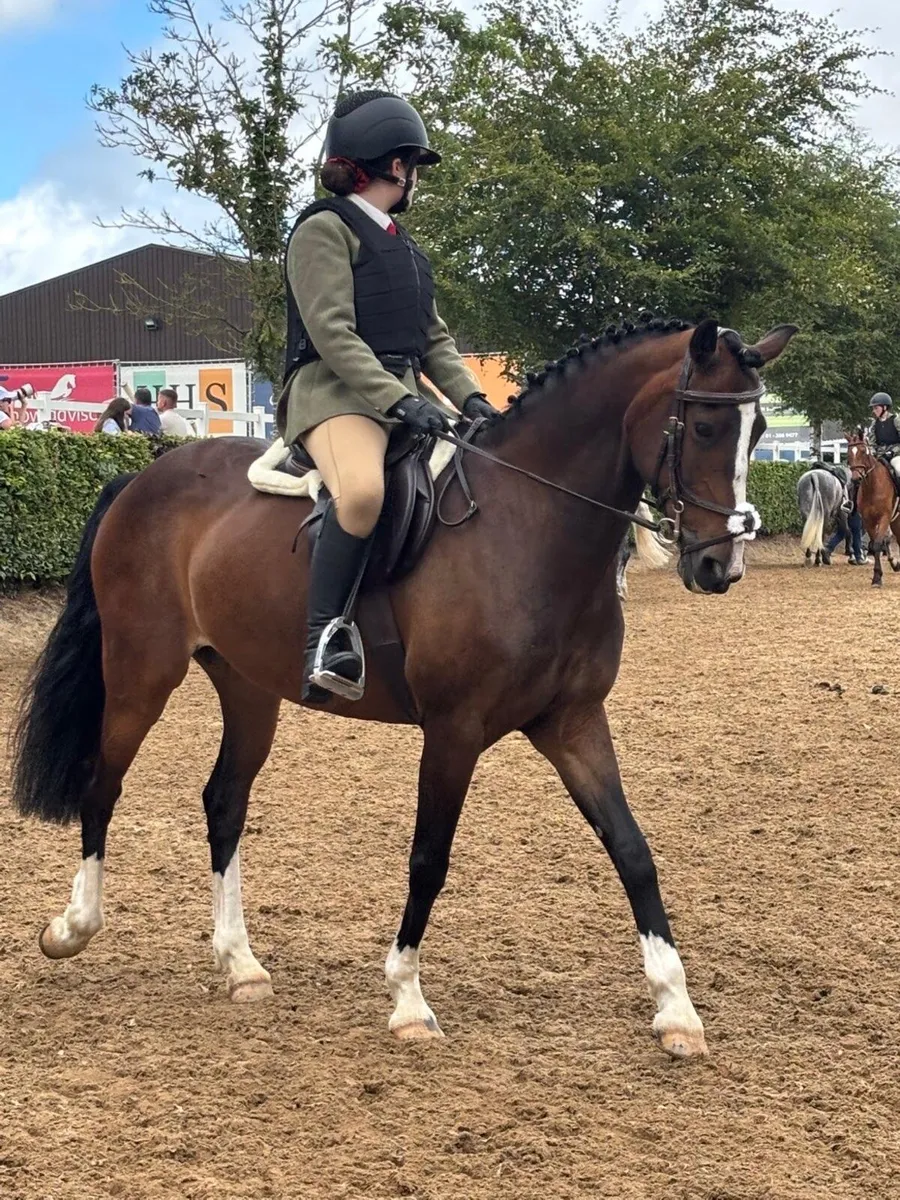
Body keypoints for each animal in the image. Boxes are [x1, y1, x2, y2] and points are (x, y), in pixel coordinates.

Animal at [11, 317, 796, 1060]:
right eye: (704, 427)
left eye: (758, 431)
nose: (720, 565)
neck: (530, 524)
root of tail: (144, 479)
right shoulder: (454, 730)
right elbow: (429, 858)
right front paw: (408, 1000)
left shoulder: (573, 723)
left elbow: (632, 851)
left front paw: (677, 1011)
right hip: (141, 670)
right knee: (103, 785)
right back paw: (72, 928)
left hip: (248, 686)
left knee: (224, 802)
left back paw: (240, 964)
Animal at [847, 430, 900, 586]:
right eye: (848, 453)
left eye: (863, 451)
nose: (856, 479)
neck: (872, 486)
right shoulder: (868, 520)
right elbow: (875, 544)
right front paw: (877, 576)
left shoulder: (884, 517)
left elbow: (877, 544)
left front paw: (877, 577)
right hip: (895, 520)